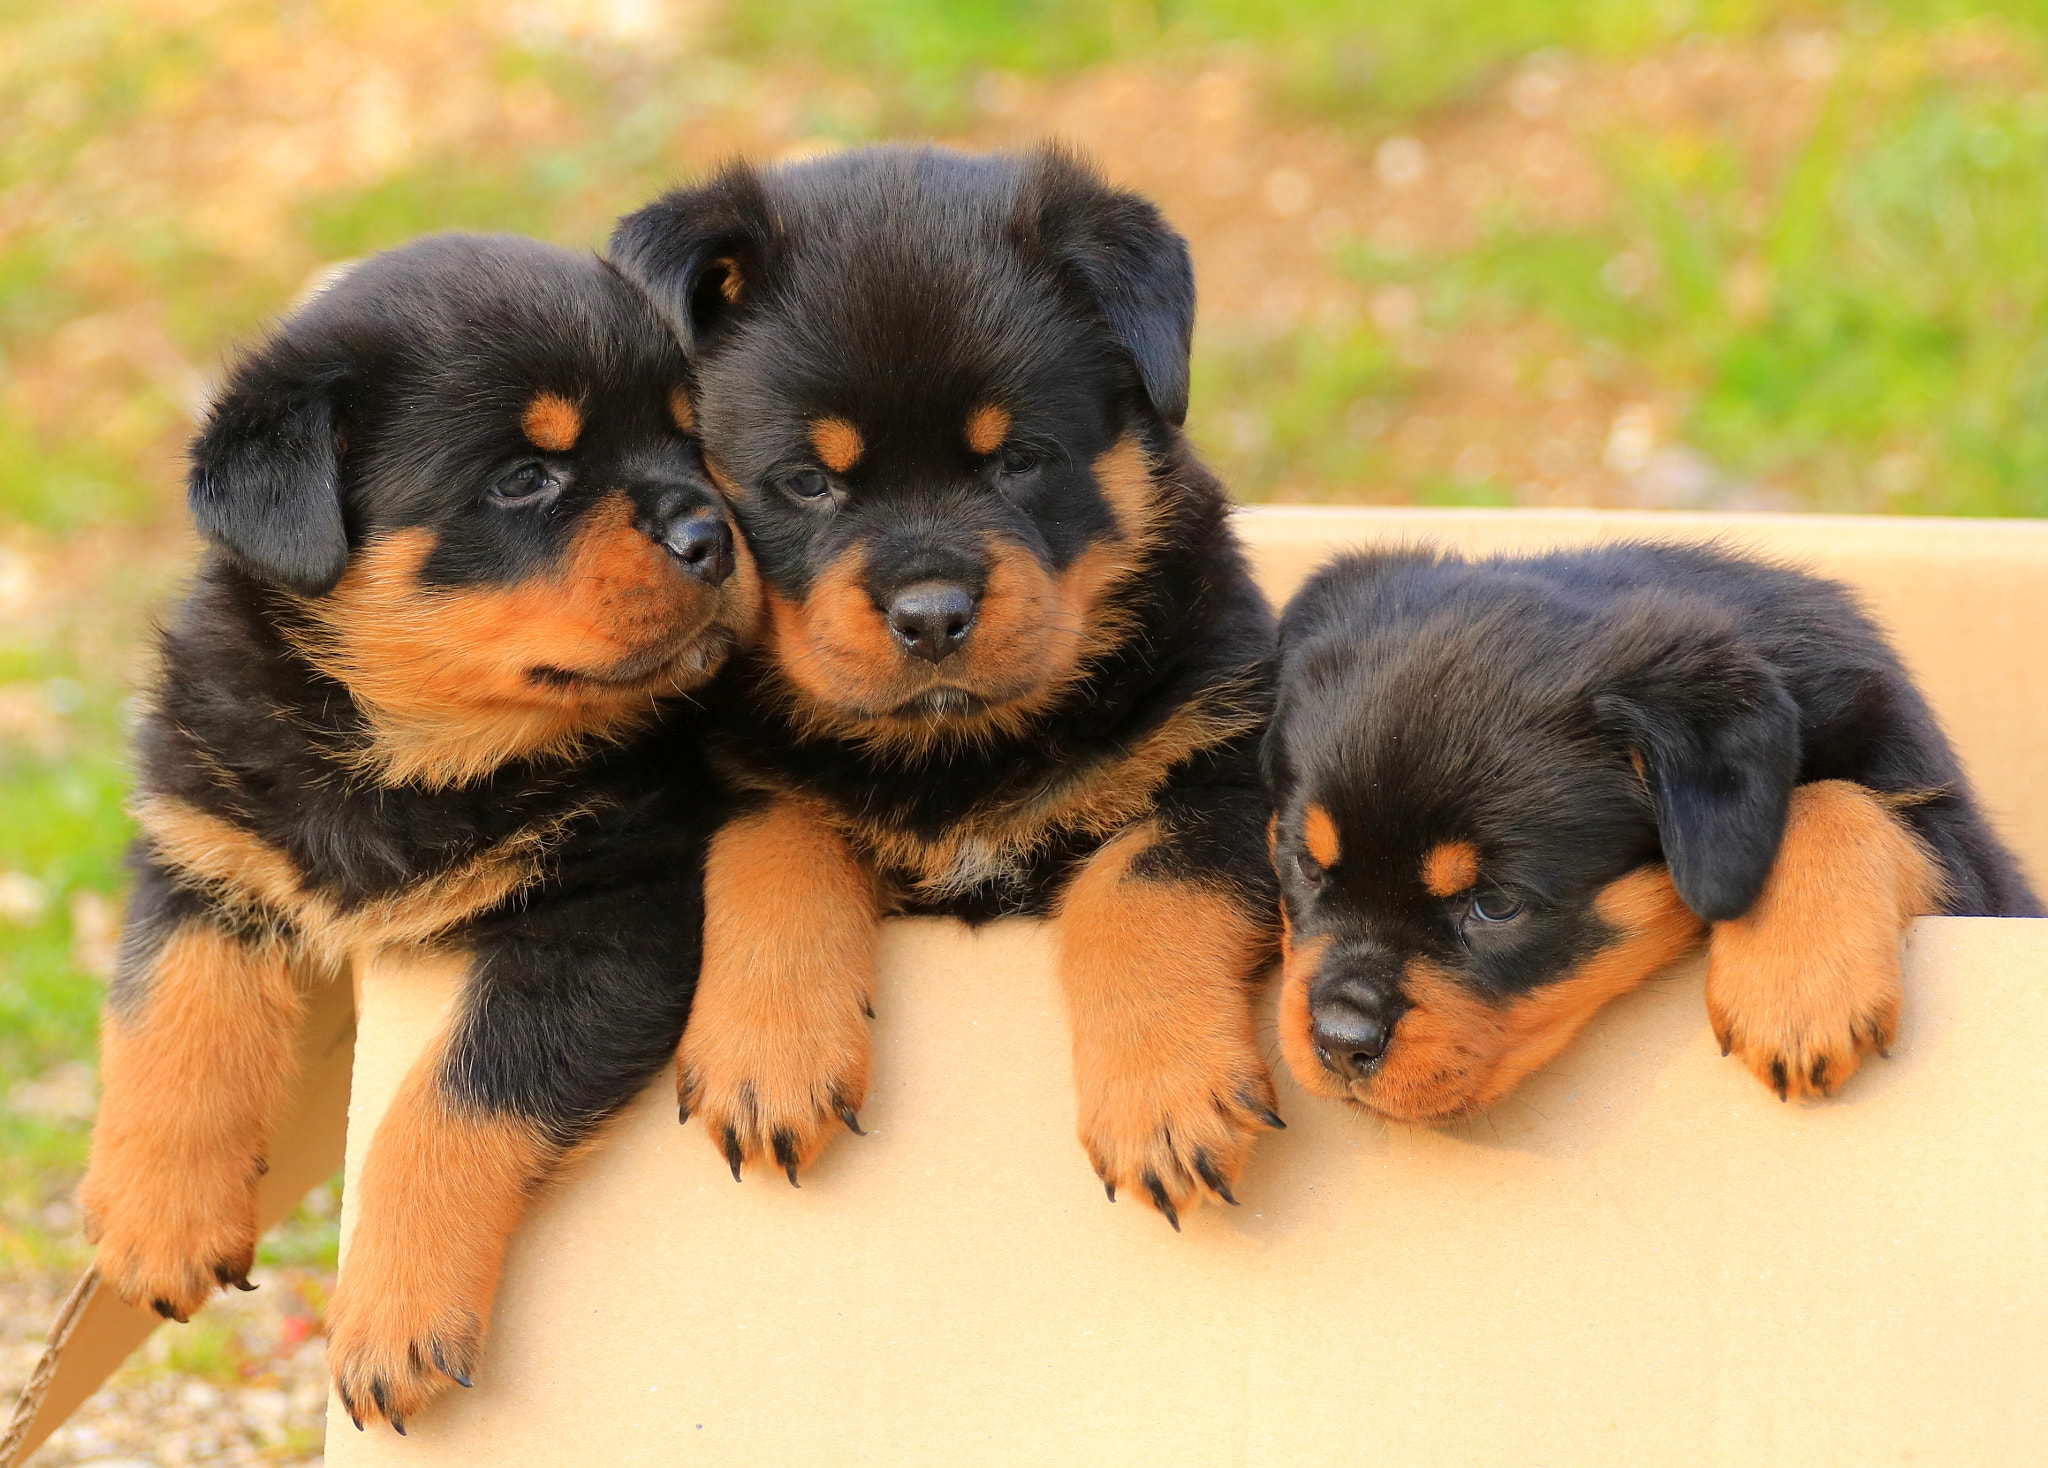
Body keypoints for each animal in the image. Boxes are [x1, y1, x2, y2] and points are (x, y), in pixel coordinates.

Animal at [77, 237, 761, 1433]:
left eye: (692, 434)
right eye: (524, 477)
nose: (710, 533)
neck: (413, 758)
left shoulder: (614, 915)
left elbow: (452, 1100)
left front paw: (391, 1312)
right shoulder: (204, 834)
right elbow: (172, 1009)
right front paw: (156, 1216)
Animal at [606, 148, 1277, 1228]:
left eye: (1019, 459)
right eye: (807, 481)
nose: (929, 615)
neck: (953, 751)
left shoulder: (1229, 756)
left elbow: (1142, 885)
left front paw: (1168, 1098)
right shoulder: (744, 773)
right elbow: (775, 849)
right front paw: (768, 1057)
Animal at [1269, 536, 2039, 1121]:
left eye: (1496, 905)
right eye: (1305, 864)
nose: (1340, 1040)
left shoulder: (1969, 862)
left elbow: (1836, 797)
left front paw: (1799, 989)